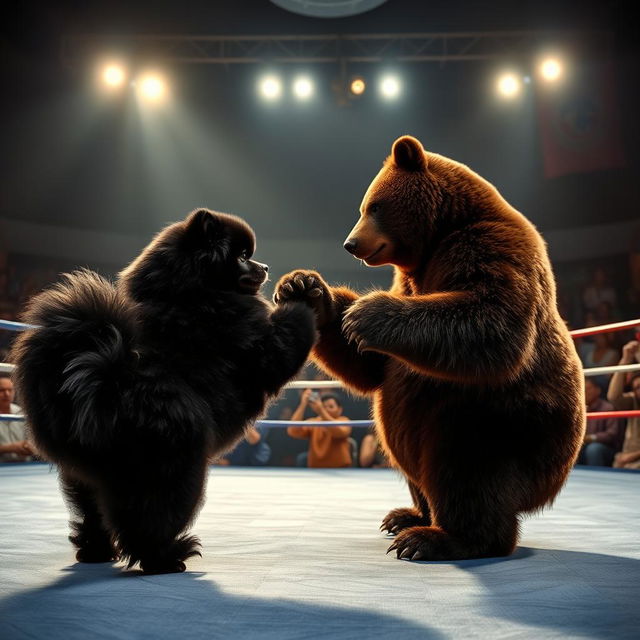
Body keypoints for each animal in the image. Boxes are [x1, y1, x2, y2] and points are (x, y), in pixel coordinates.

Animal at [11, 210, 316, 576]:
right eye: (243, 256)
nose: (266, 266)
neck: (189, 291)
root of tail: (104, 383)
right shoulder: (258, 341)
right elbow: (287, 339)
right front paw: (301, 291)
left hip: (83, 477)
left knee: (92, 515)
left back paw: (96, 551)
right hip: (176, 468)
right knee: (150, 522)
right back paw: (168, 558)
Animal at [276, 135, 584, 560]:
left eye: (374, 206)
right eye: (363, 207)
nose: (351, 243)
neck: (440, 235)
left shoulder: (488, 247)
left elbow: (490, 319)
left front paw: (366, 313)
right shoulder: (408, 277)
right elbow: (372, 365)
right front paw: (303, 287)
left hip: (509, 421)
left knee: (466, 468)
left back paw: (437, 539)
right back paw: (406, 517)